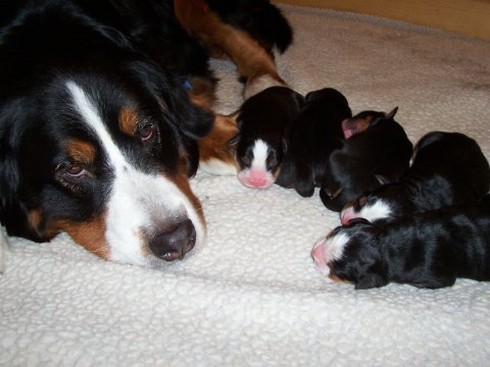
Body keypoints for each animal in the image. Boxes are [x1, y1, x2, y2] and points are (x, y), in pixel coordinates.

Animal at [340, 131, 490, 226]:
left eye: (375, 224)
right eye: (362, 199)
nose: (344, 219)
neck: (414, 193)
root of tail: (471, 142)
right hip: (431, 137)